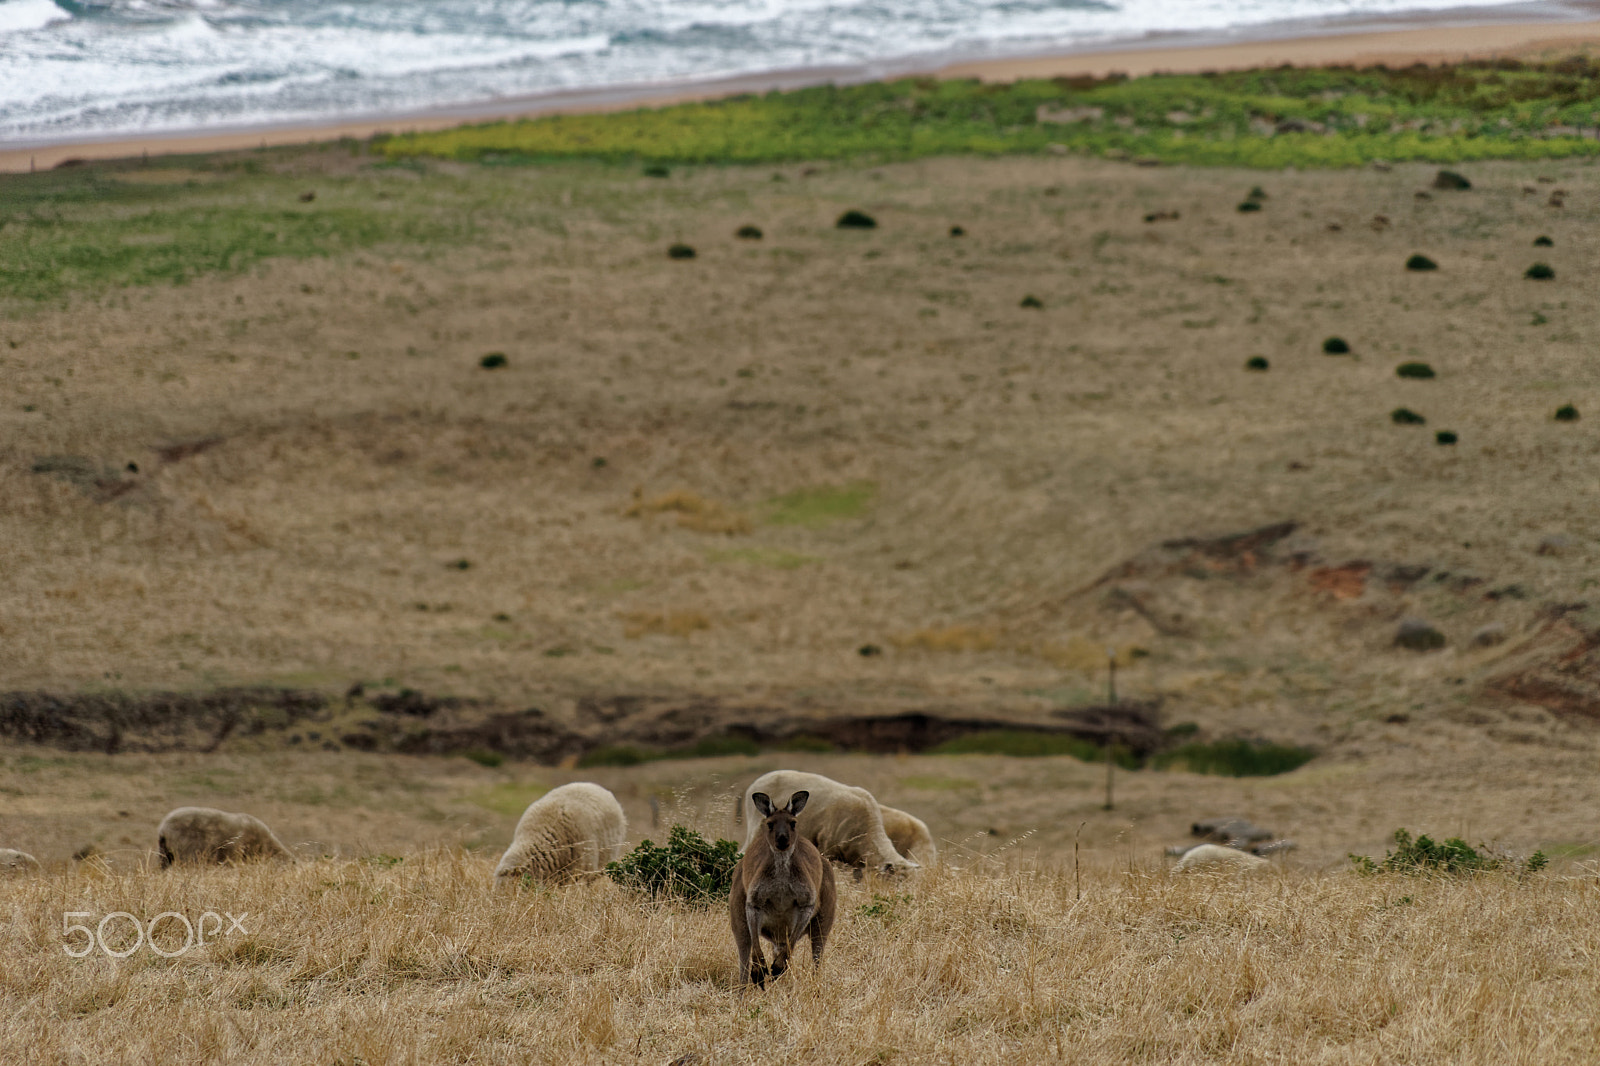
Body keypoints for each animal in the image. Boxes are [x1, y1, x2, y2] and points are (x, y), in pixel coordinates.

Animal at [732, 787, 838, 985]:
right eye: (770, 824)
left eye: (793, 823)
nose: (782, 839)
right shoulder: (753, 902)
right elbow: (755, 942)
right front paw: (761, 969)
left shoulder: (807, 902)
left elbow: (793, 941)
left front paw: (776, 968)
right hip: (737, 910)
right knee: (745, 950)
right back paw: (749, 984)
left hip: (824, 915)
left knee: (814, 953)